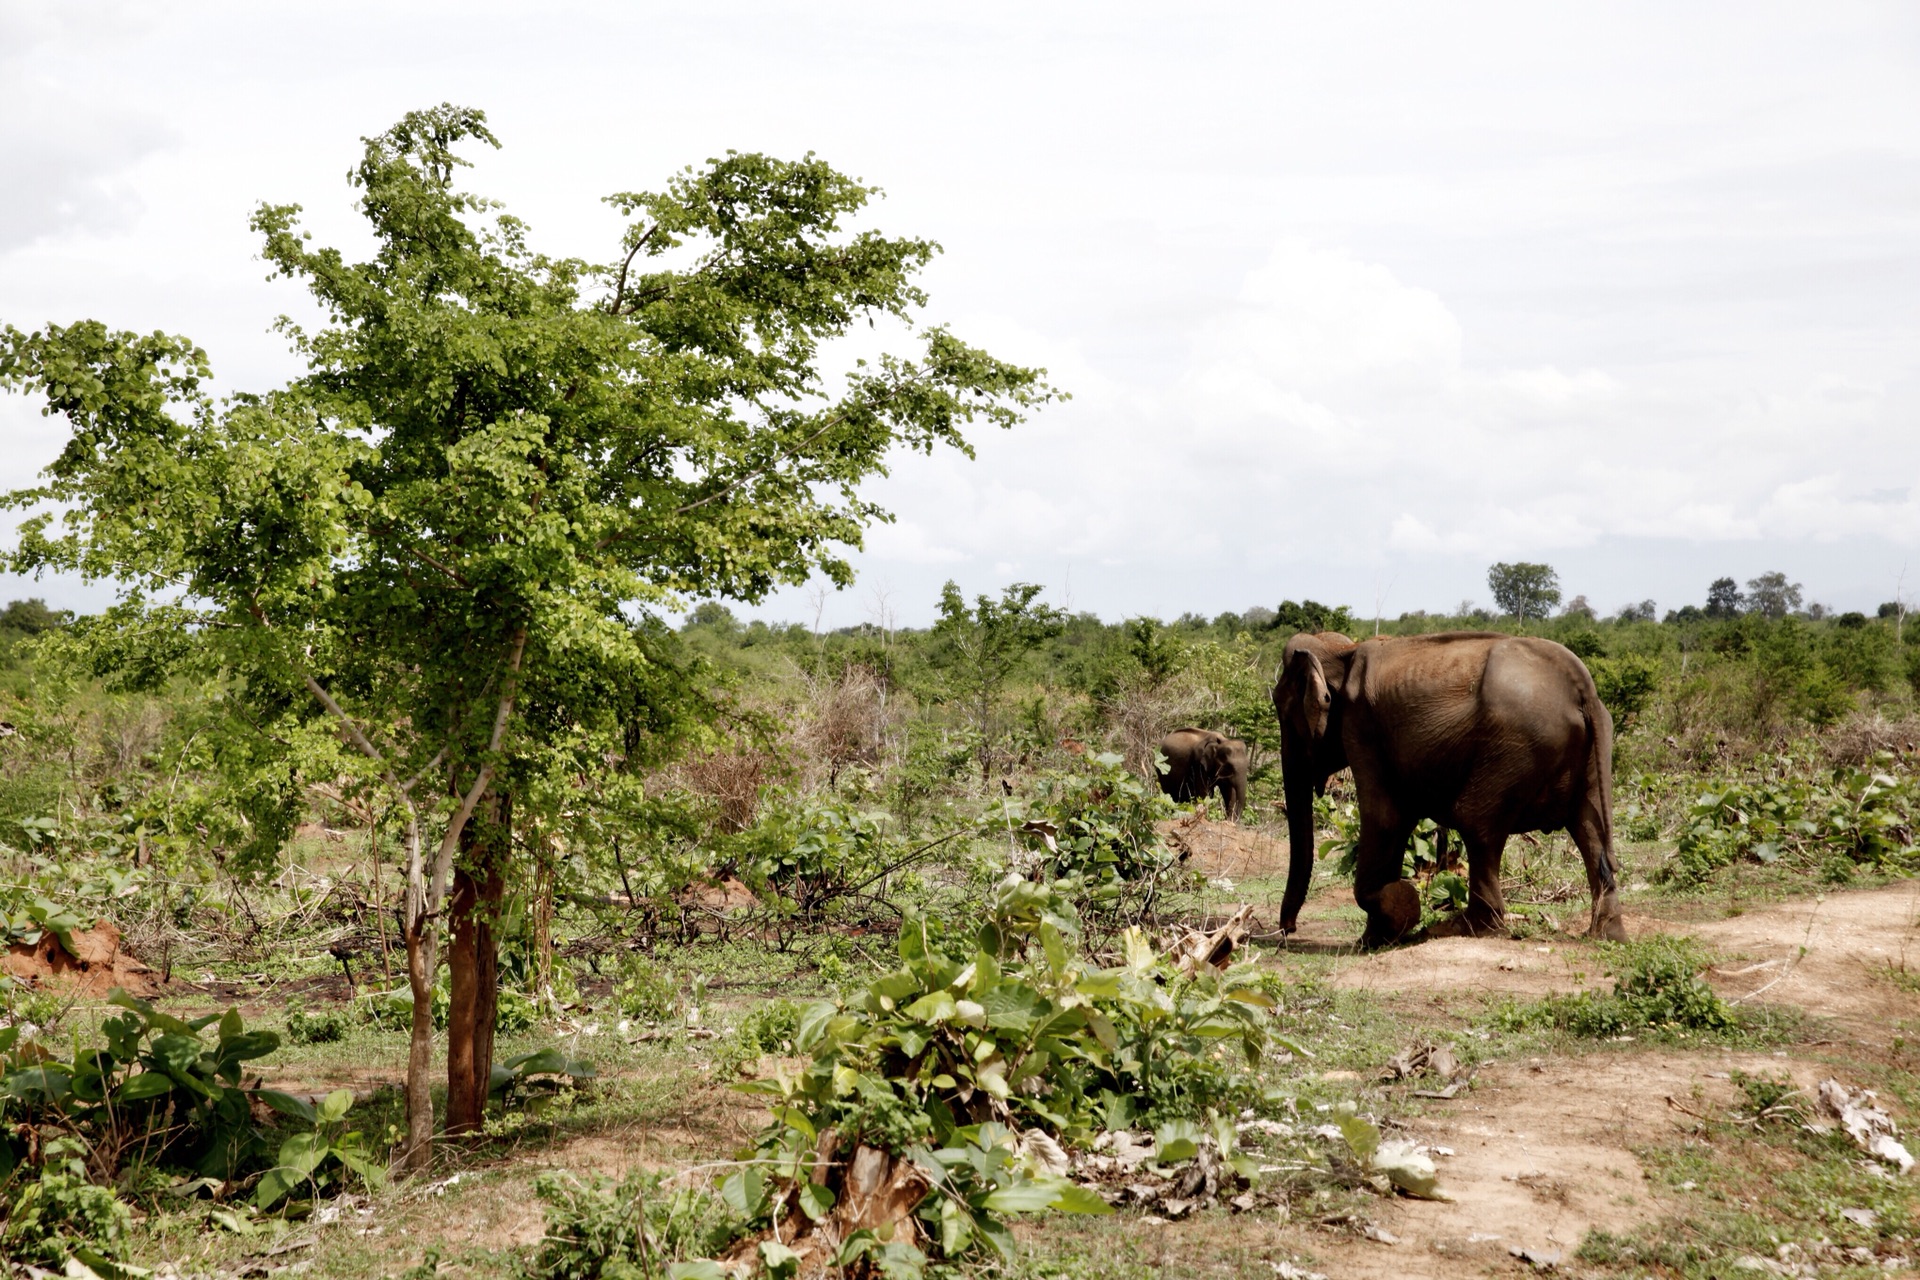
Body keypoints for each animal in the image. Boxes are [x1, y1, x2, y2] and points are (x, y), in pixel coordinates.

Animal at [1274, 633, 1620, 951]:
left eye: (1284, 710)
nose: (1287, 931)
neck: (1342, 651)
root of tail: (1583, 688)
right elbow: (1399, 820)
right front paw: (1376, 939)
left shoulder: (1361, 727)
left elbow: (1386, 818)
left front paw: (1399, 911)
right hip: (1581, 753)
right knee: (1590, 831)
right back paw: (1606, 935)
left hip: (1520, 746)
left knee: (1476, 822)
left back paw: (1457, 928)